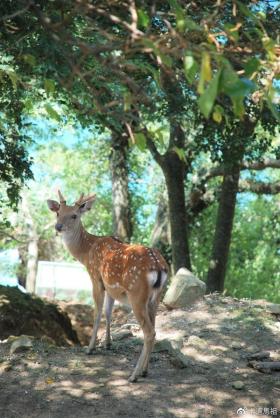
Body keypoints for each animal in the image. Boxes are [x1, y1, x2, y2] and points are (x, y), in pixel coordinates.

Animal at [46, 190, 167, 382]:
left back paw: (134, 375)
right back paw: (145, 370)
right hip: (156, 297)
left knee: (149, 332)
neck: (86, 252)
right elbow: (108, 312)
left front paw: (90, 348)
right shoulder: (111, 286)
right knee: (154, 328)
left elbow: (97, 313)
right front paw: (108, 344)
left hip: (137, 294)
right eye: (58, 212)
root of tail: (159, 266)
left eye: (74, 215)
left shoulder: (96, 277)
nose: (58, 227)